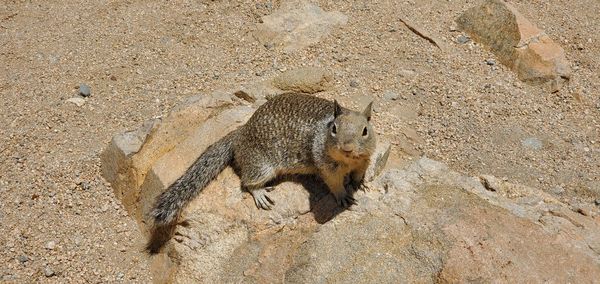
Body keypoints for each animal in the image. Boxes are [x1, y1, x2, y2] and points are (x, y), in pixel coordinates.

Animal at [148, 93, 376, 253]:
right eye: (334, 129)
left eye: (365, 130)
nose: (346, 148)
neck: (348, 161)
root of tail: (240, 133)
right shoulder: (326, 166)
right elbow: (334, 183)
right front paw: (343, 196)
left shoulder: (365, 159)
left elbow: (360, 172)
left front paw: (360, 183)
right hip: (262, 166)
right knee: (246, 182)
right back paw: (260, 194)